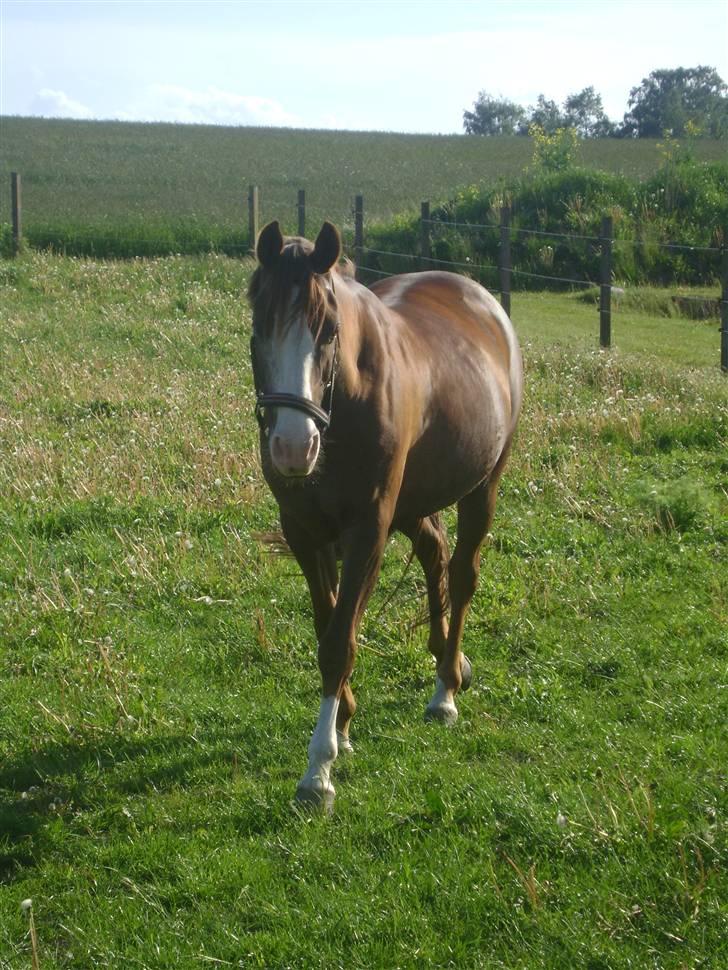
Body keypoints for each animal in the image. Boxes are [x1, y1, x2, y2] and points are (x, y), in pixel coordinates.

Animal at [248, 220, 523, 809]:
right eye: (260, 326)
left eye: (328, 330)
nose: (292, 448)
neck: (347, 399)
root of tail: (484, 302)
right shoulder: (305, 533)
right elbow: (328, 625)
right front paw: (344, 723)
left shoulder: (368, 530)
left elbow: (339, 642)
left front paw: (318, 770)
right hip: (413, 502)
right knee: (434, 555)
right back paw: (448, 663)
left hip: (483, 485)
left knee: (461, 573)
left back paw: (446, 688)